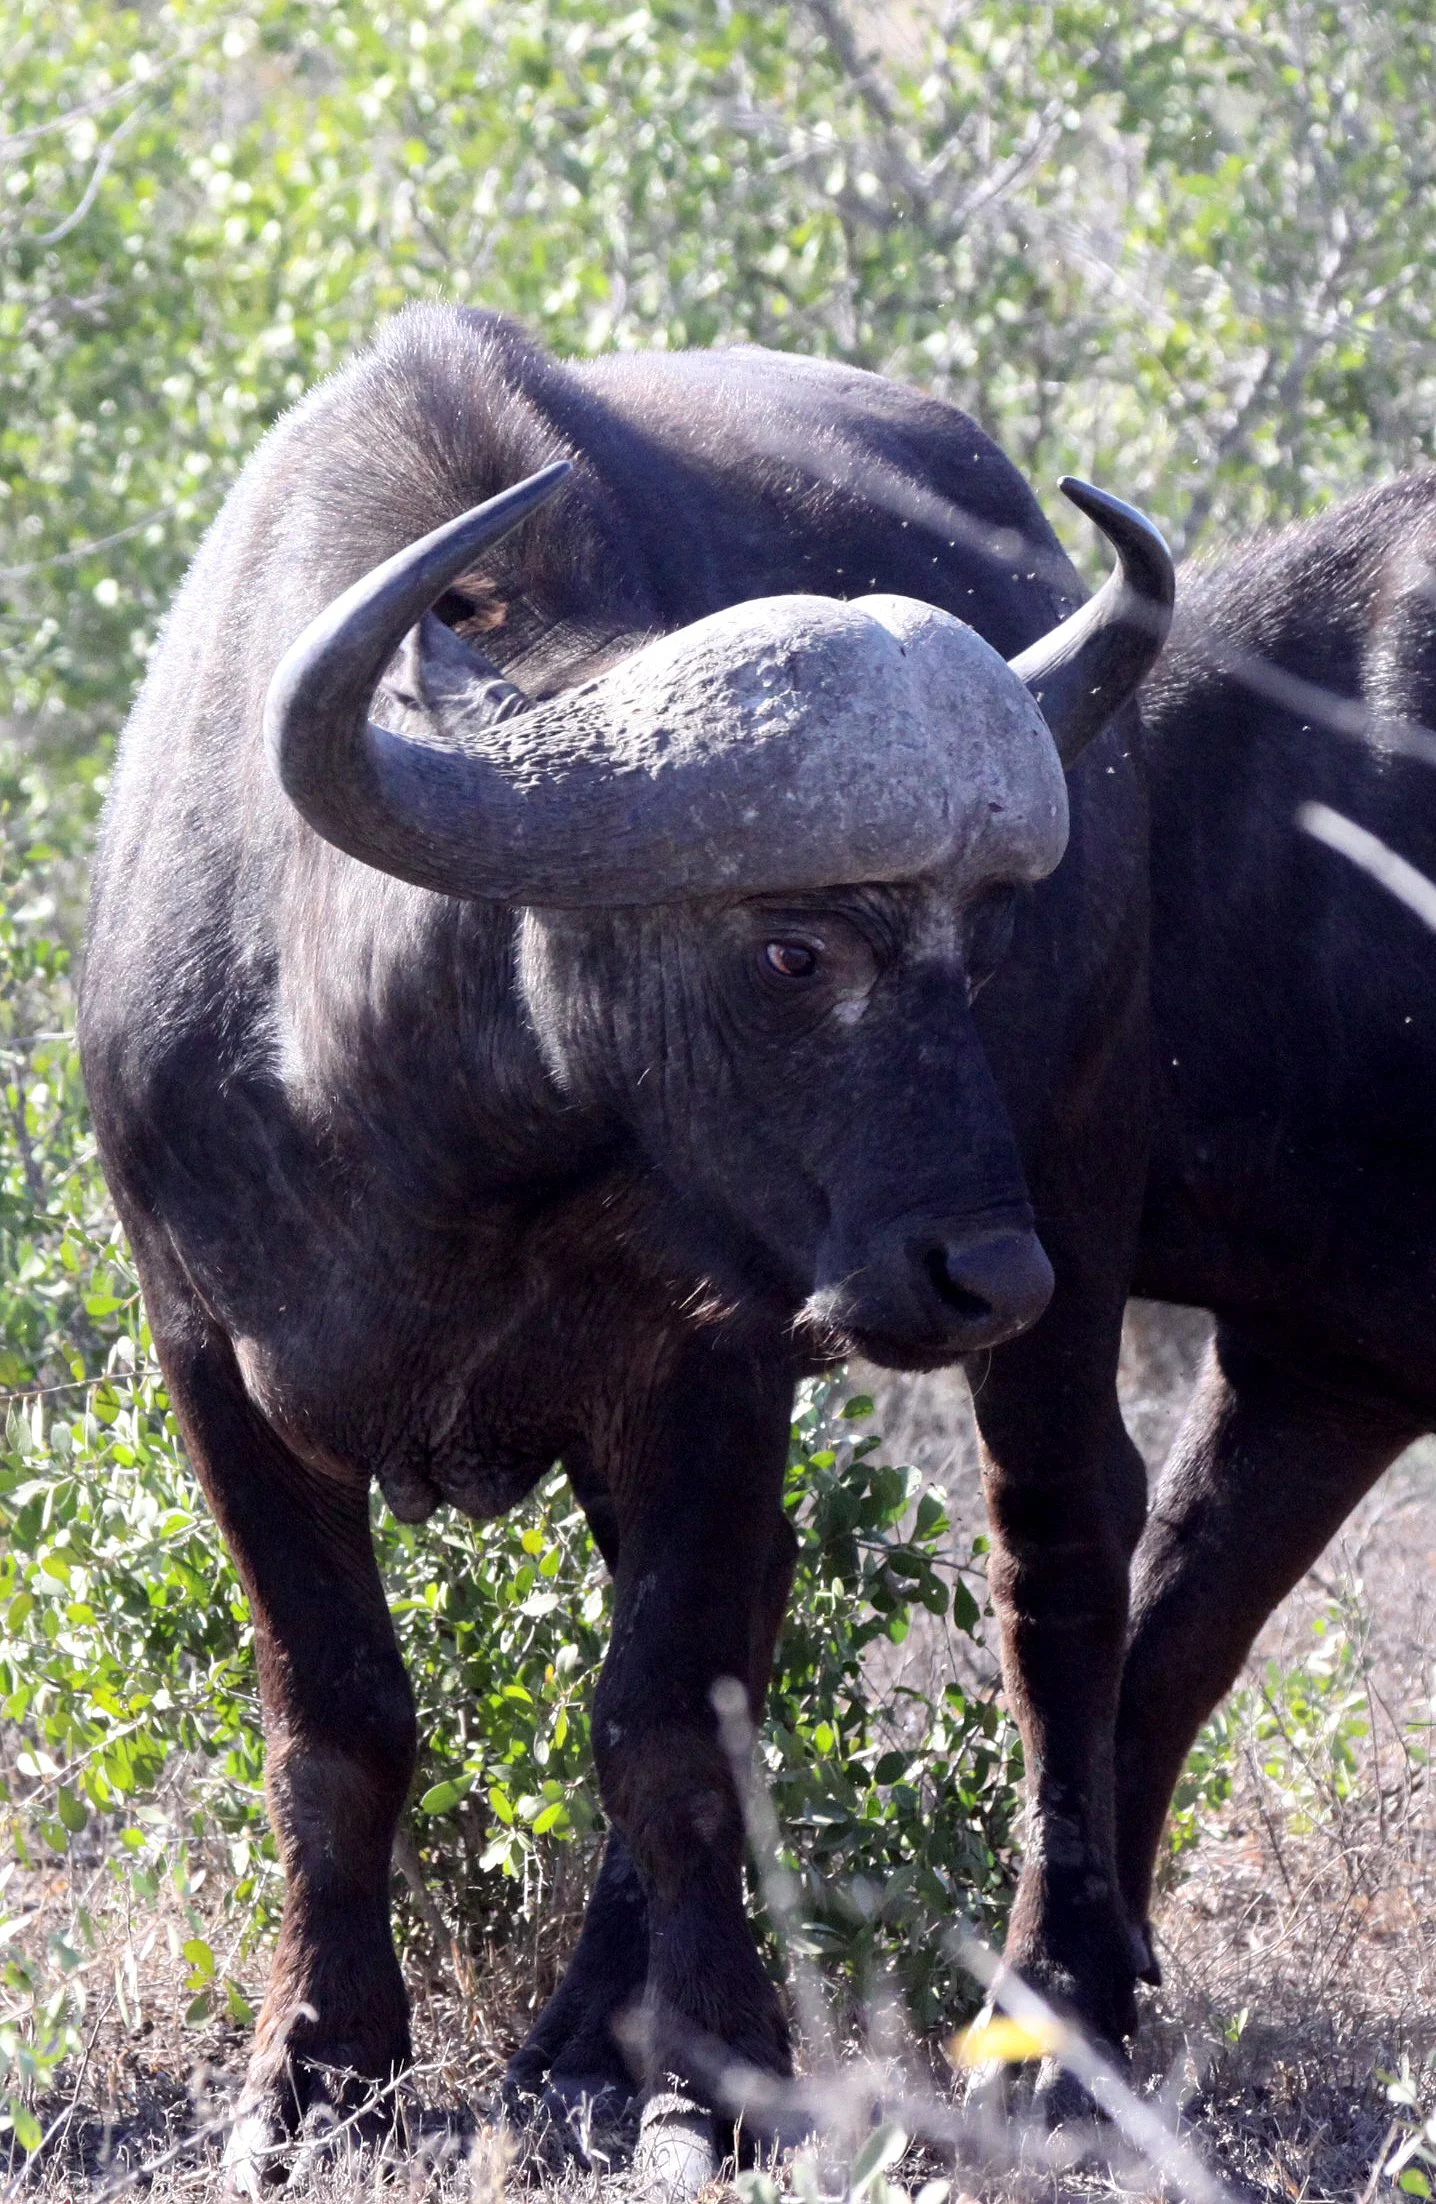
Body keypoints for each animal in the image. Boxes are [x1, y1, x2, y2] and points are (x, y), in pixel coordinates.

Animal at [77, 305, 1172, 2181]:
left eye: (979, 940)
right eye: (794, 950)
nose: (985, 1270)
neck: (447, 1129)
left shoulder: (717, 1360)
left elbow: (663, 1719)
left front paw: (711, 2074)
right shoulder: (204, 1354)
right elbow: (335, 1717)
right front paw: (315, 2065)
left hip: (1071, 1224)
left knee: (1059, 1555)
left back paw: (1006, 2019)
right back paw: (583, 2029)